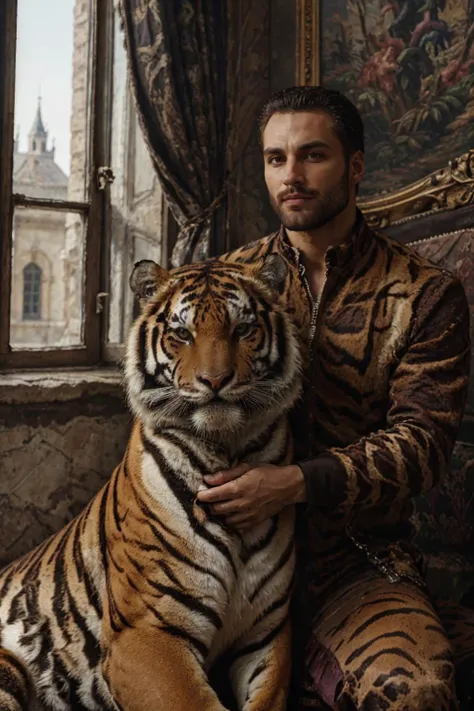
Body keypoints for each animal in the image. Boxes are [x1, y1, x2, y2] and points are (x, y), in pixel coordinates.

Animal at [0, 254, 306, 711]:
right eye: (182, 333)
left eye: (243, 329)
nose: (215, 381)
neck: (226, 449)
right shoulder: (146, 635)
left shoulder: (268, 633)